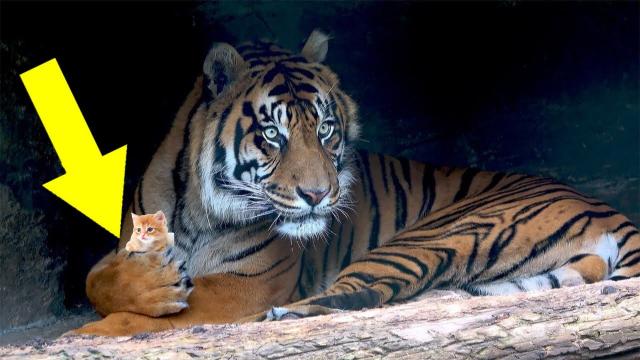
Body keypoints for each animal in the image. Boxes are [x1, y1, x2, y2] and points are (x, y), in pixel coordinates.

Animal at [72, 29, 636, 336]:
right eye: (273, 134)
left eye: (325, 128)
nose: (318, 194)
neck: (199, 210)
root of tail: (610, 210)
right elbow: (96, 280)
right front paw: (150, 287)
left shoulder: (242, 287)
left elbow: (149, 315)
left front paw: (92, 331)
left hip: (428, 236)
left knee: (360, 294)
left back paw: (277, 317)